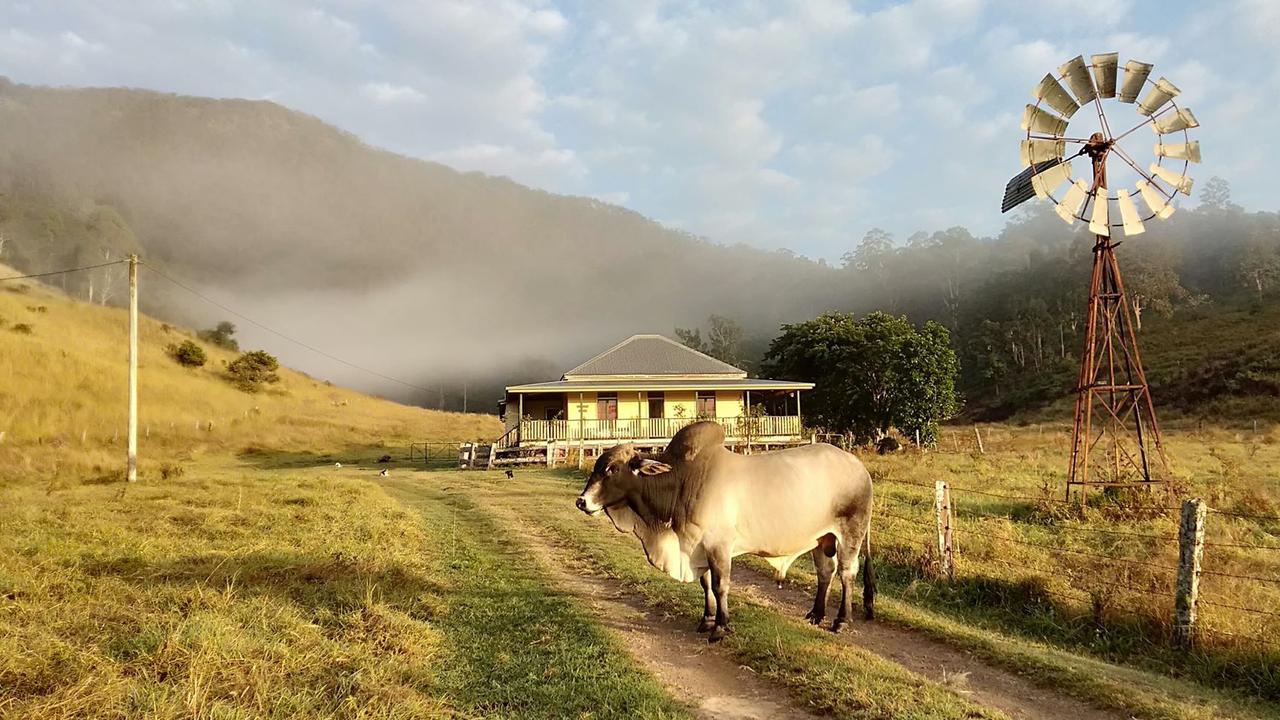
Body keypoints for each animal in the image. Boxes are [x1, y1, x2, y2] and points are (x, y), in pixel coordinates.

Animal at [576, 420, 875, 638]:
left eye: (612, 469)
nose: (582, 501)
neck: (682, 481)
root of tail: (859, 467)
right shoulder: (697, 546)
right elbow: (706, 583)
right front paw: (707, 619)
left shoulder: (719, 546)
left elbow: (721, 585)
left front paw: (721, 626)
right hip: (822, 538)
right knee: (825, 572)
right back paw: (816, 614)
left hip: (851, 531)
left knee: (847, 573)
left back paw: (841, 621)